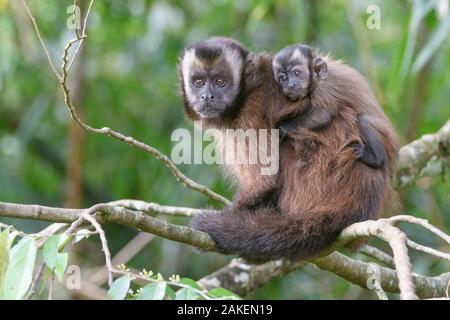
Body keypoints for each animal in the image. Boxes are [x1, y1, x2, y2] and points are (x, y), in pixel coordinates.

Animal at [178, 36, 400, 264]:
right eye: (198, 82)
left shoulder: (249, 115)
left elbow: (262, 183)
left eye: (220, 82)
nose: (207, 96)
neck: (246, 91)